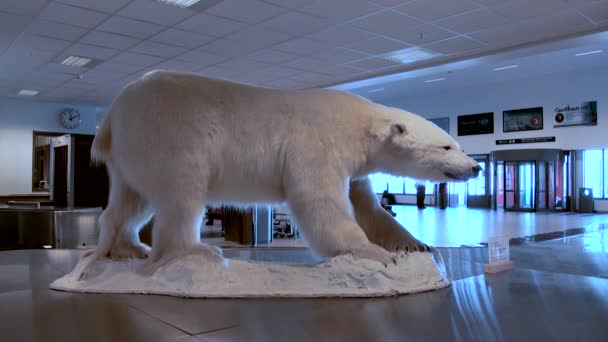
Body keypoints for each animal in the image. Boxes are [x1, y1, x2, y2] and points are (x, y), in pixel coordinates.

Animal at [79, 71, 480, 276]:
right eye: (448, 146)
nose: (475, 167)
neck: (357, 125)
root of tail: (110, 117)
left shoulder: (355, 168)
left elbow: (368, 207)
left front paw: (417, 245)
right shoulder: (317, 144)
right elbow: (320, 200)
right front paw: (374, 253)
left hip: (133, 152)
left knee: (131, 199)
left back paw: (125, 248)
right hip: (170, 133)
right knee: (181, 191)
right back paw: (198, 253)